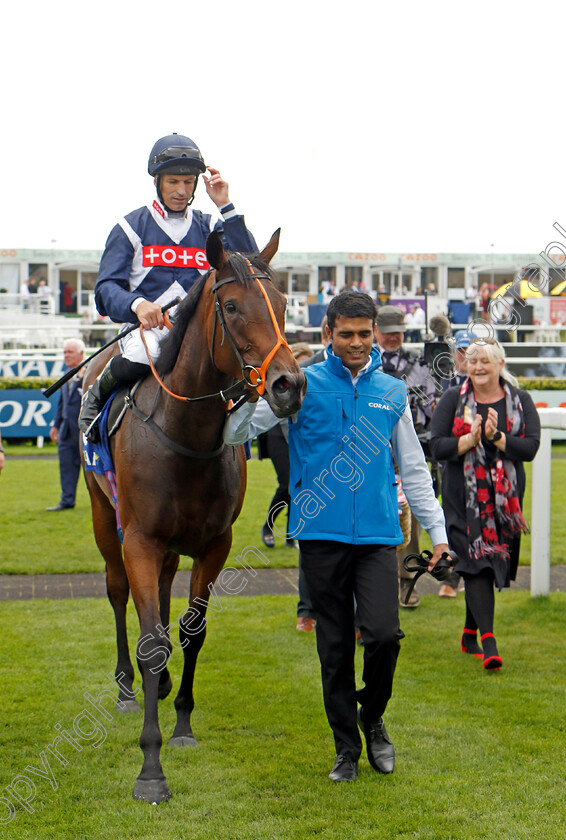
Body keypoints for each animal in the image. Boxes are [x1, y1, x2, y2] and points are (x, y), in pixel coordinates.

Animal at [81, 228, 306, 800]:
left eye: (282, 304)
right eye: (231, 306)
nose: (290, 386)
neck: (184, 436)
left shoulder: (213, 544)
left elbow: (190, 630)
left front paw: (181, 723)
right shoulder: (139, 539)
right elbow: (151, 641)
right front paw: (150, 770)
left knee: (161, 597)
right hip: (103, 519)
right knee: (118, 592)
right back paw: (126, 688)